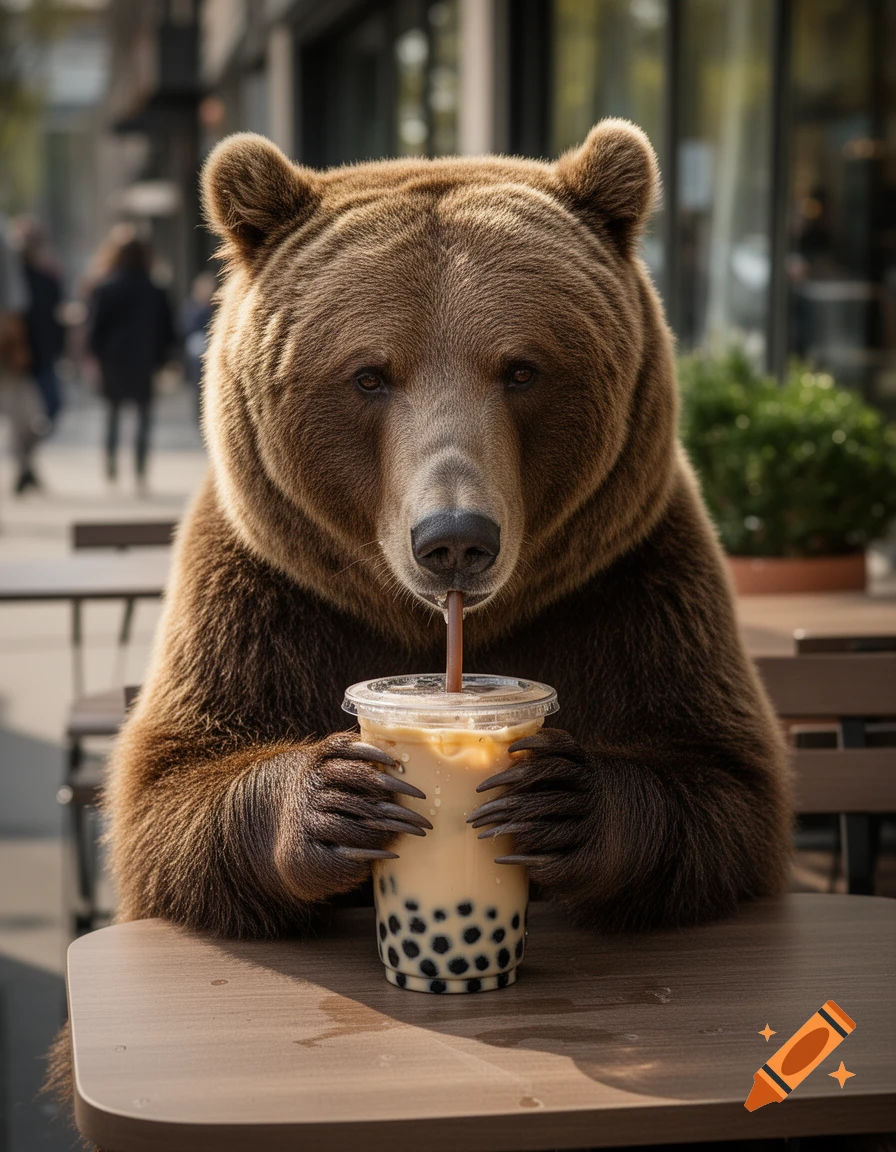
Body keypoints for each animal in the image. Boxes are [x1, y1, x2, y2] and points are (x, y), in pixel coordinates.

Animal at [50, 120, 792, 1137]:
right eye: (369, 373)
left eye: (522, 367)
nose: (455, 539)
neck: (423, 620)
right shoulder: (264, 593)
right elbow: (170, 793)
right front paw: (337, 798)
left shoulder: (633, 585)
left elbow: (725, 786)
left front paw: (559, 800)